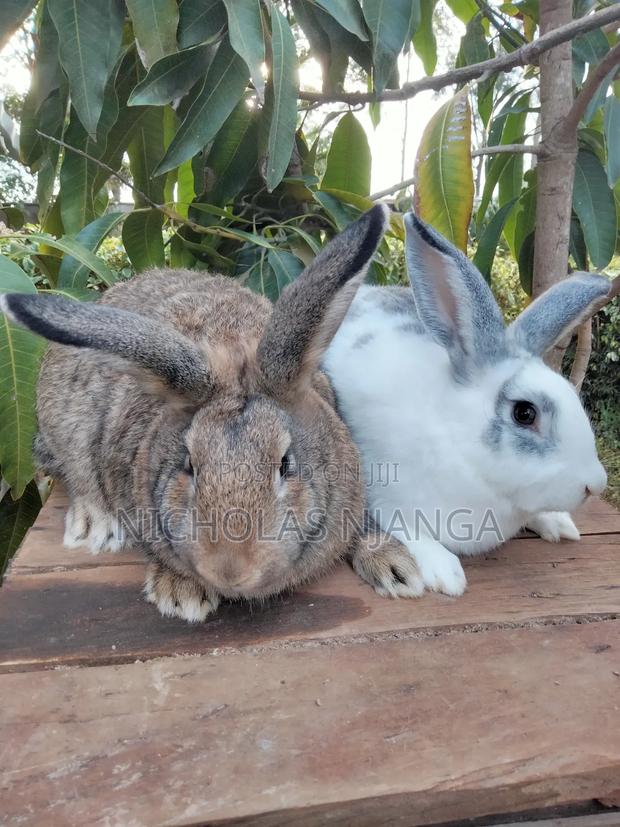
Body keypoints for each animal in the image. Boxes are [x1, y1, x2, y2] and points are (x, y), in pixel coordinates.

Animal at [1, 205, 424, 622]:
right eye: (189, 464)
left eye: (285, 464)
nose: (230, 570)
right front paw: (181, 594)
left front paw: (396, 566)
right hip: (63, 419)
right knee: (78, 471)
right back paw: (96, 527)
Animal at [323, 212, 610, 598]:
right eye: (524, 413)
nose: (595, 485)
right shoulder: (383, 494)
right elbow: (407, 528)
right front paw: (445, 571)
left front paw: (557, 523)